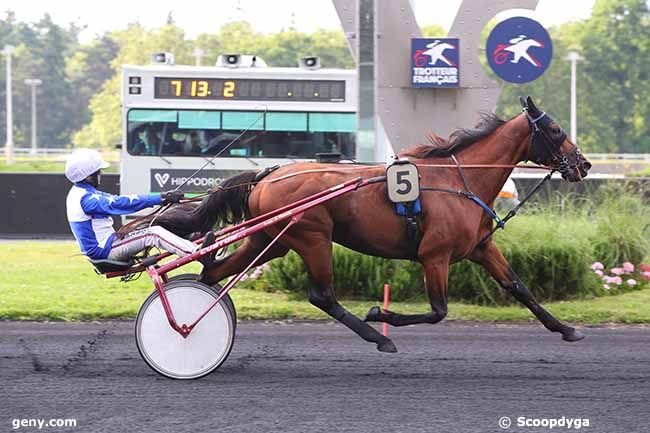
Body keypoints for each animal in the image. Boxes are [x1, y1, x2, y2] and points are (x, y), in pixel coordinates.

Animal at [120, 97, 588, 352]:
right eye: (555, 128)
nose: (582, 164)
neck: (459, 180)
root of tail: (267, 174)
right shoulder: (434, 255)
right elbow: (438, 311)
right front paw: (382, 313)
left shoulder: (479, 248)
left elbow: (519, 287)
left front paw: (567, 329)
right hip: (312, 236)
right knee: (322, 295)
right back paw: (377, 336)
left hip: (271, 239)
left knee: (213, 272)